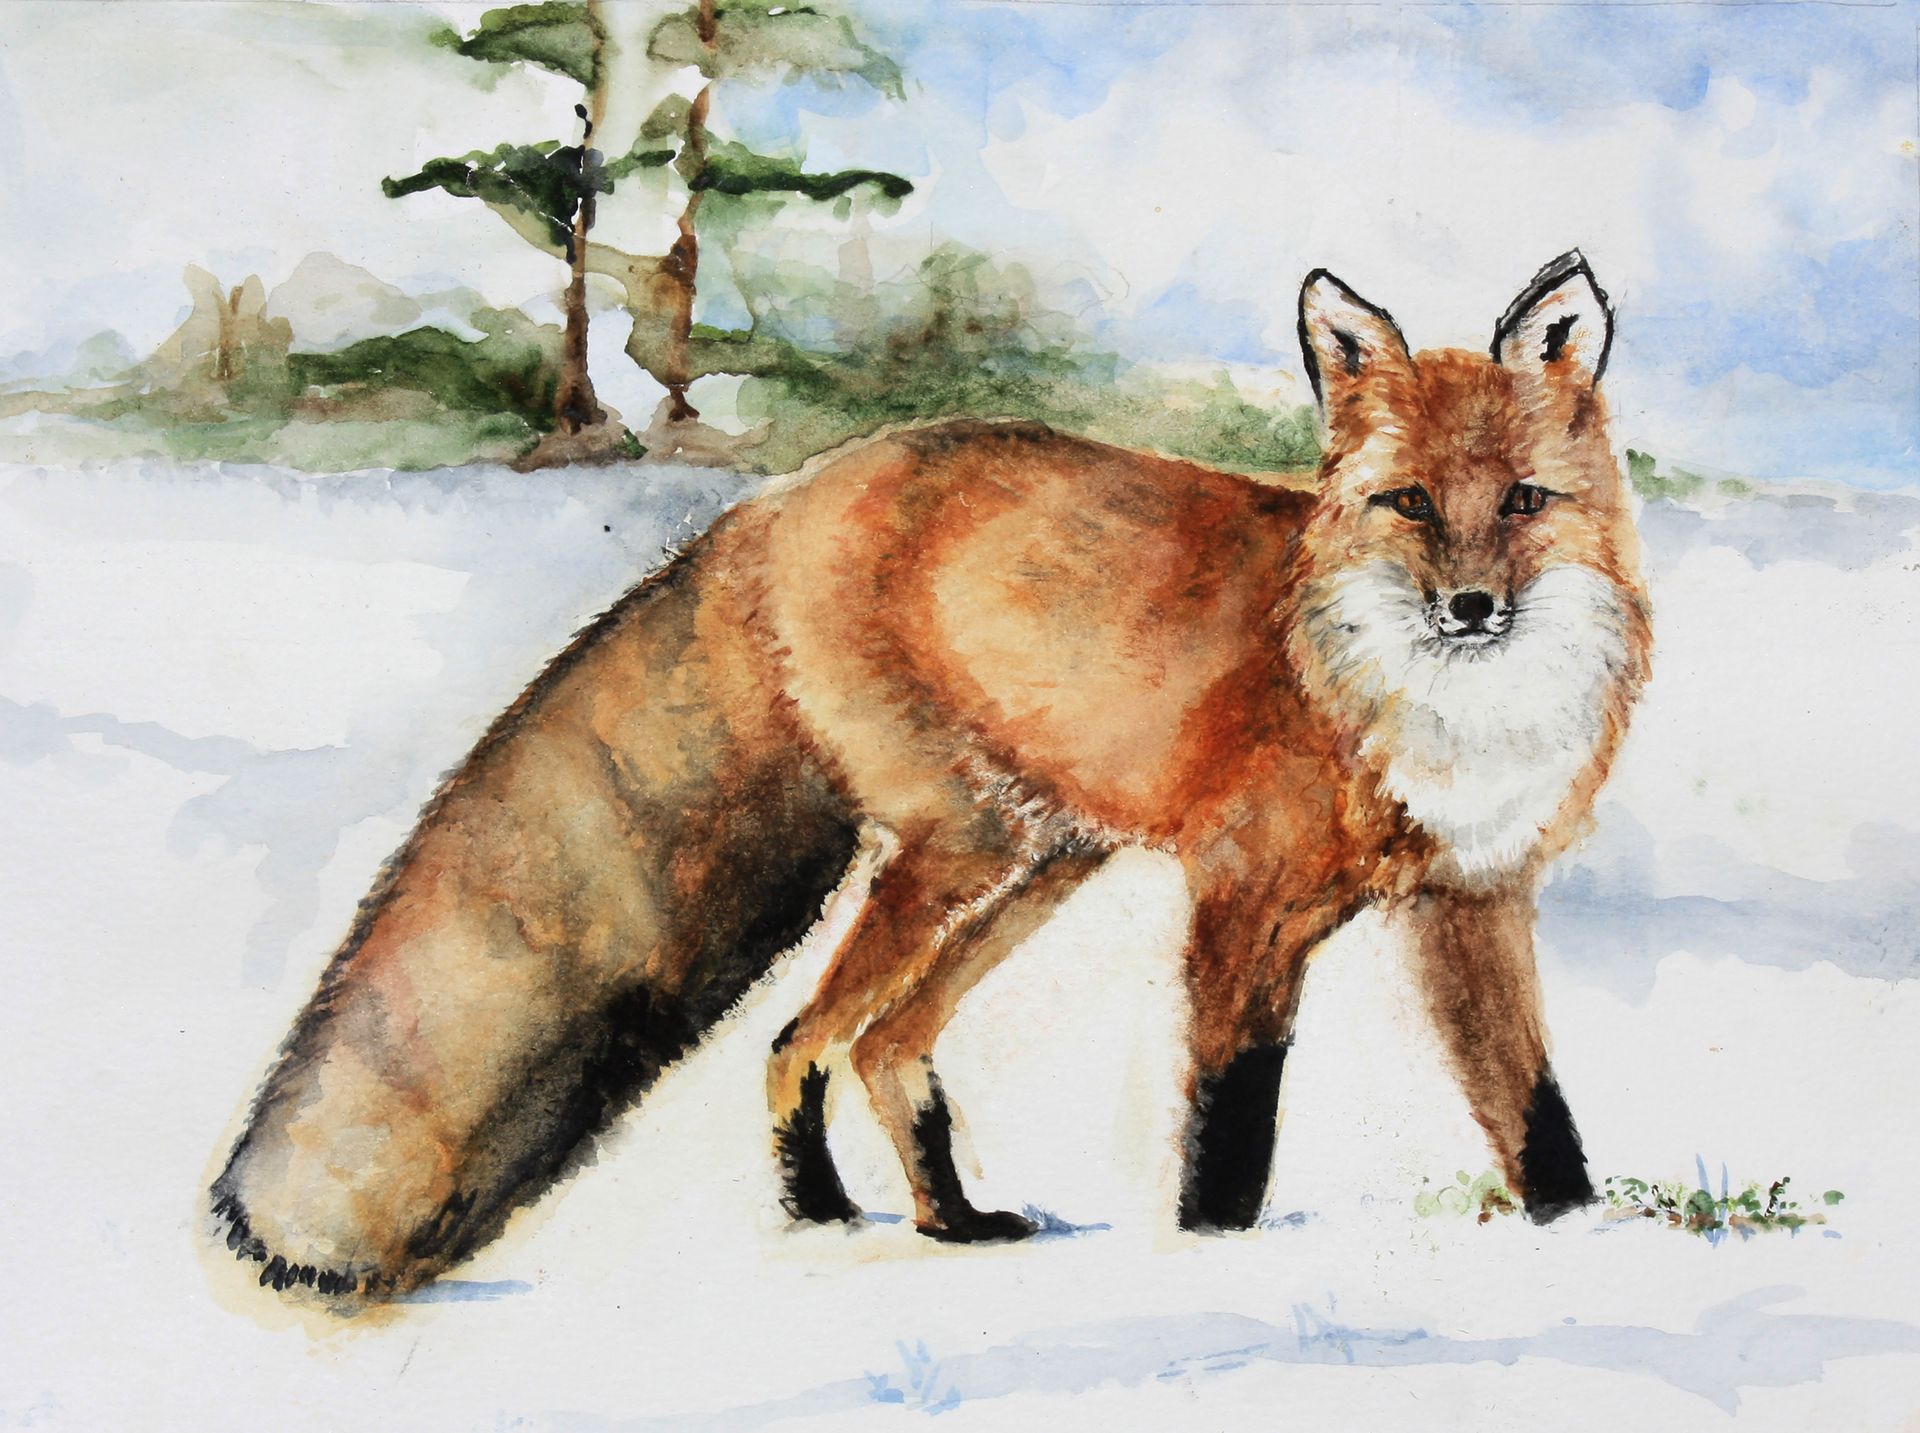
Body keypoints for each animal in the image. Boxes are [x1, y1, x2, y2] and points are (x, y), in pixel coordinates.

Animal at [211, 251, 1649, 1296]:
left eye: (1524, 503)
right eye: (1410, 505)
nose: (1470, 608)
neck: (1429, 712)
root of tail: (772, 500)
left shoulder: (1471, 899)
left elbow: (1538, 1114)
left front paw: (1578, 1237)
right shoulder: (1243, 901)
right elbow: (1228, 1130)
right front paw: (1211, 1264)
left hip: (1038, 864)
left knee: (874, 1043)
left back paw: (938, 1220)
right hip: (963, 849)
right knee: (808, 1035)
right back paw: (822, 1216)